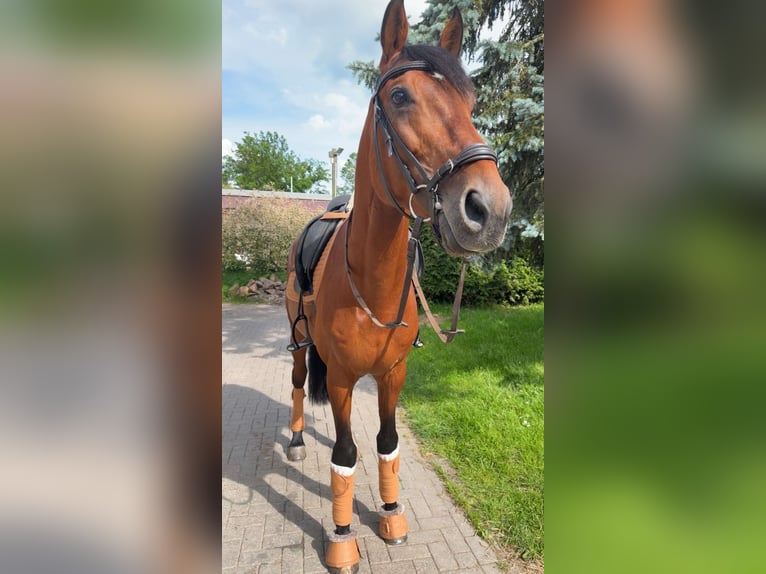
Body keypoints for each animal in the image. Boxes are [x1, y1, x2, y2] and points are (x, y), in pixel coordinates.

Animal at [284, 1, 511, 571]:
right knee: (298, 385)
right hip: (297, 342)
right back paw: (296, 440)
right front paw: (343, 537)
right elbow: (345, 455)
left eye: (471, 101)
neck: (371, 283)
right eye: (401, 96)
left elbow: (387, 444)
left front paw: (390, 514)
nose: (490, 209)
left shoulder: (393, 374)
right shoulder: (343, 379)